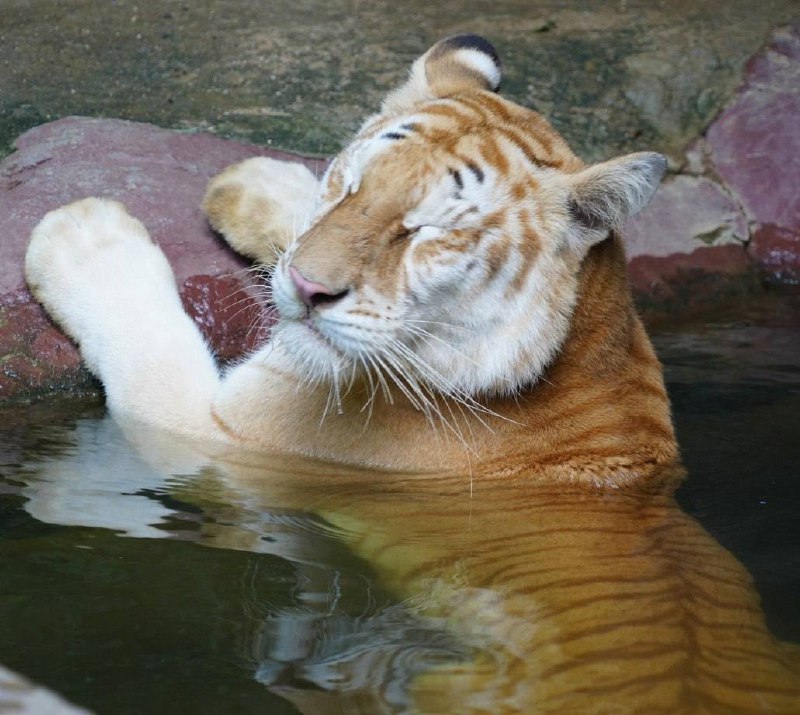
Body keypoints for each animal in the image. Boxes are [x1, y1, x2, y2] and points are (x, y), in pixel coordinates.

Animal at [23, 35, 800, 715]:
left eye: (423, 233)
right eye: (349, 187)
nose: (306, 288)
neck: (592, 339)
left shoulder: (230, 438)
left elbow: (145, 338)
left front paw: (82, 233)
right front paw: (252, 184)